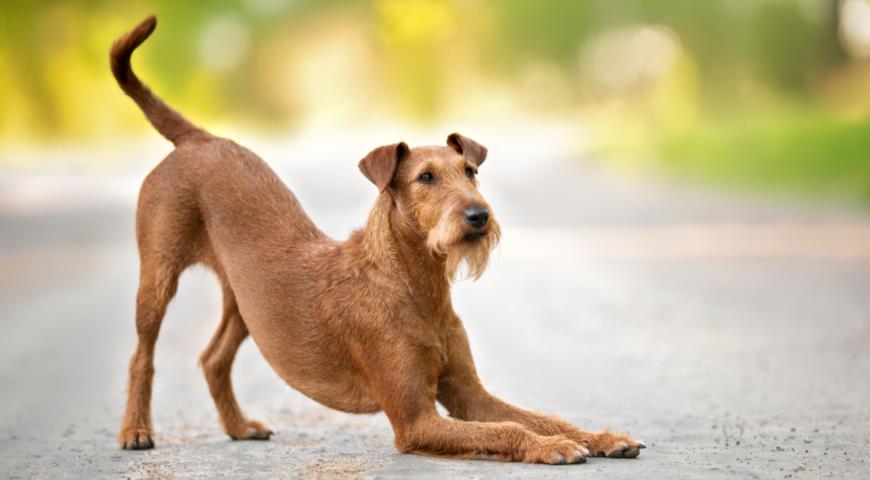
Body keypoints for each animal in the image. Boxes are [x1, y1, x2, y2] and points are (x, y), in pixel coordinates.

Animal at [112, 15, 644, 464]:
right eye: (425, 177)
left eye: (471, 171)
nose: (478, 215)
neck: (416, 285)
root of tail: (199, 139)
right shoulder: (414, 418)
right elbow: (509, 430)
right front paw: (550, 447)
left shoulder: (468, 394)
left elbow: (543, 416)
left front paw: (600, 437)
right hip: (157, 276)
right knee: (142, 355)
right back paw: (135, 431)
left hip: (245, 303)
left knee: (213, 358)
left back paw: (239, 426)